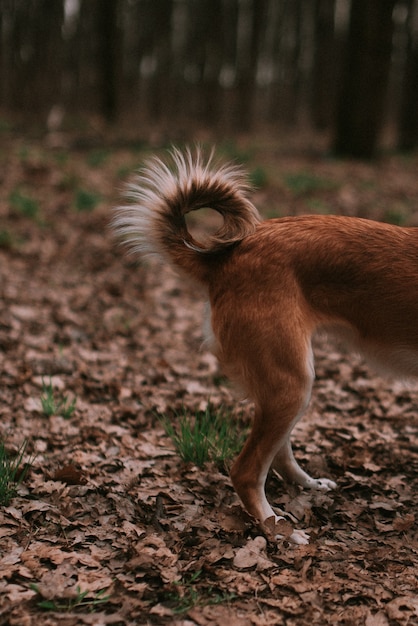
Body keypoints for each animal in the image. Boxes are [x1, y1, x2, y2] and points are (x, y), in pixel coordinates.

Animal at [112, 147, 416, 540]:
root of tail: (230, 256)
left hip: (288, 380)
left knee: (278, 453)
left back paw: (306, 486)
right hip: (292, 380)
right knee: (246, 470)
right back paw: (278, 530)